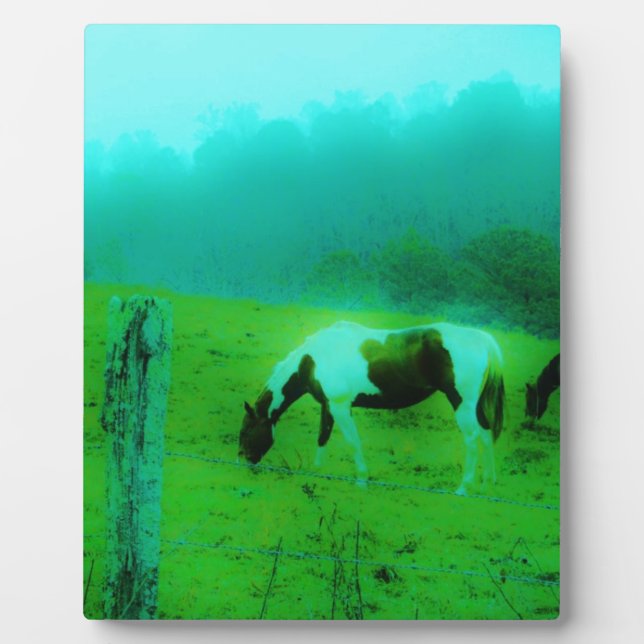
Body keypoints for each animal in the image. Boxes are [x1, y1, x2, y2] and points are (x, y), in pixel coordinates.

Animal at [238, 321, 505, 495]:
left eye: (246, 431)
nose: (244, 463)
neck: (312, 359)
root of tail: (482, 339)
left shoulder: (341, 406)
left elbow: (353, 441)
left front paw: (362, 479)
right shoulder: (328, 405)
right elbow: (322, 437)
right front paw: (317, 471)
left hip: (461, 402)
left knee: (472, 440)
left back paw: (464, 487)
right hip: (474, 406)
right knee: (486, 433)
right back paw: (487, 482)